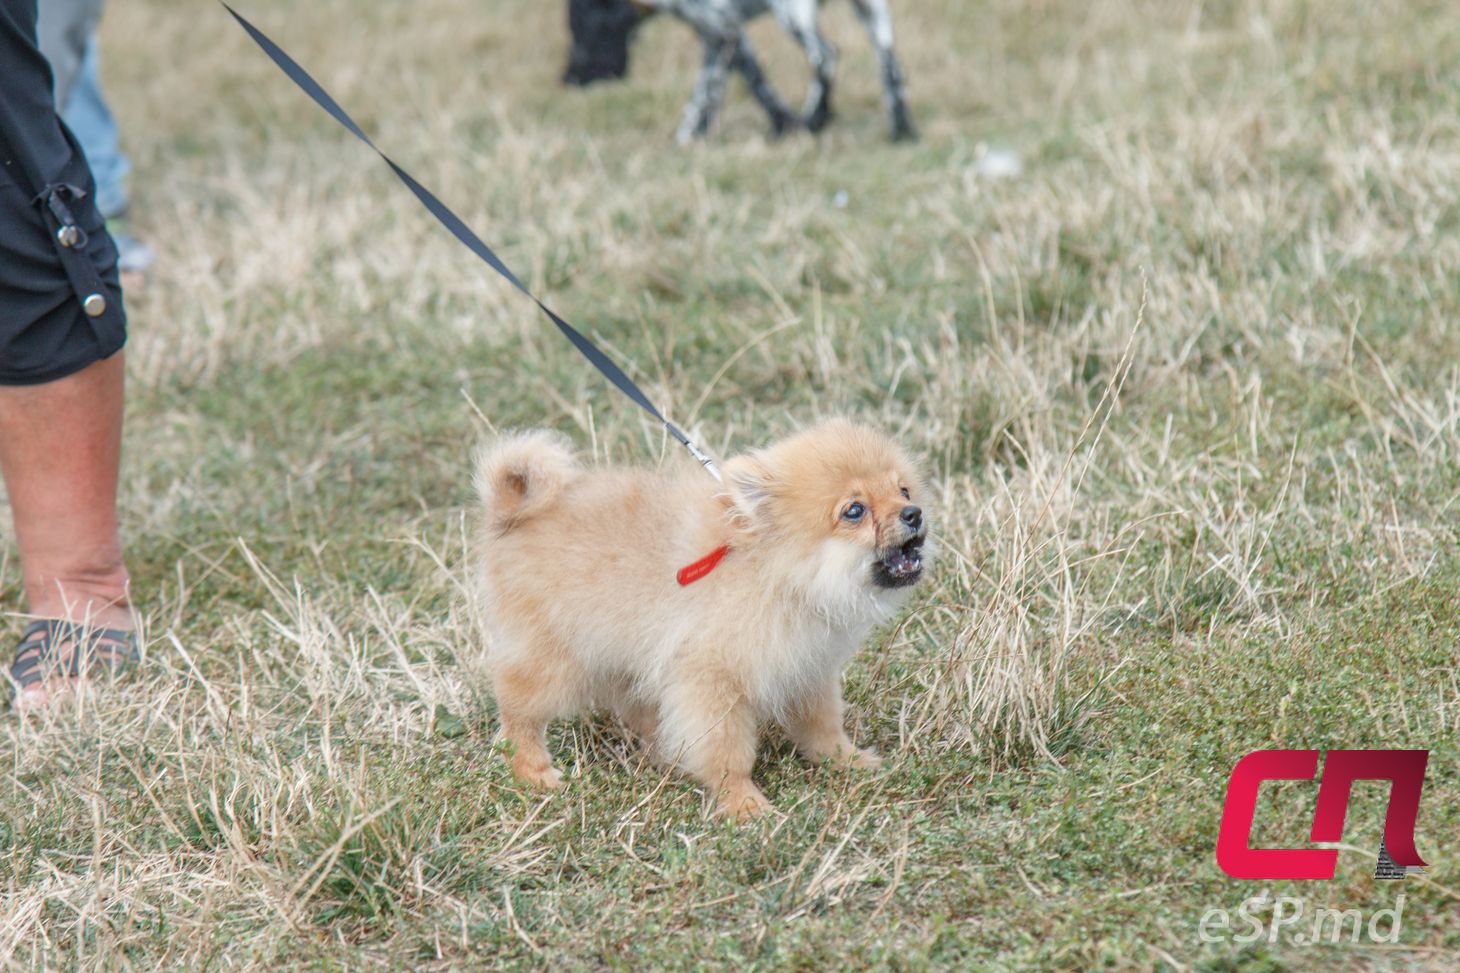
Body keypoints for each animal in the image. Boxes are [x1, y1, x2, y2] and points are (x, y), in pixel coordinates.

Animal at [478, 417, 934, 818]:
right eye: (854, 511)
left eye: (903, 489)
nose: (914, 513)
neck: (775, 573)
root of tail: (513, 515)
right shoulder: (713, 678)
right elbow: (727, 749)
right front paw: (743, 803)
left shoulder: (807, 666)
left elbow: (822, 725)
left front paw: (847, 760)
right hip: (555, 657)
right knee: (517, 706)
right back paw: (532, 770)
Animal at [566, 0, 916, 143]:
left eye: (579, 30)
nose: (567, 79)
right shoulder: (721, 35)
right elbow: (724, 86)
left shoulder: (721, 29)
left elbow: (716, 88)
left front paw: (687, 135)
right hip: (872, 11)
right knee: (891, 65)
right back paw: (902, 131)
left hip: (793, 12)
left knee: (825, 54)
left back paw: (815, 118)